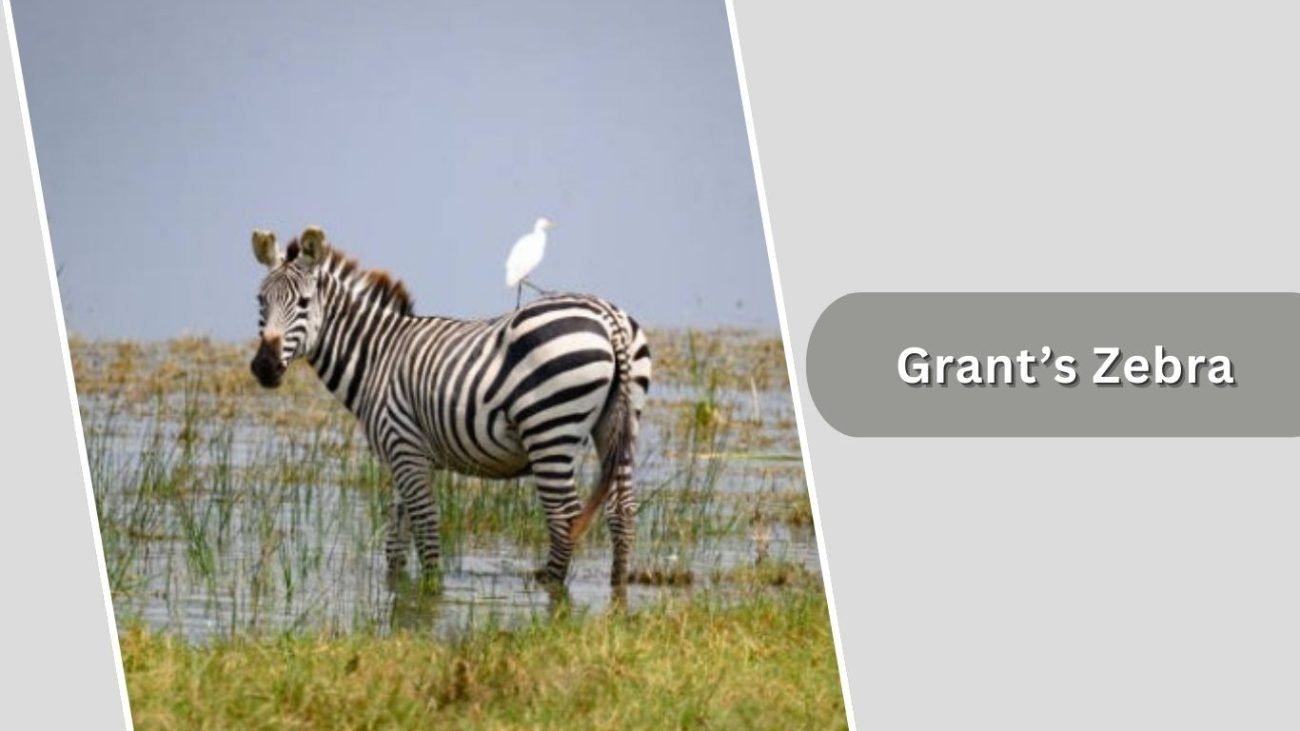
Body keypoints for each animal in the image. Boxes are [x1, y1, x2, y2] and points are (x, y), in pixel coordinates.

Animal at [247, 225, 651, 586]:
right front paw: (400, 594)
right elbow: (396, 540)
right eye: (260, 301)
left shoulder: (404, 447)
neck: (377, 356)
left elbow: (425, 526)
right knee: (622, 511)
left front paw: (431, 592)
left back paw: (550, 593)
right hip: (619, 424)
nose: (264, 367)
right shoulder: (404, 456)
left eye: (303, 303)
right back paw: (616, 596)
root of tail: (607, 316)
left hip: (549, 430)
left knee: (564, 518)